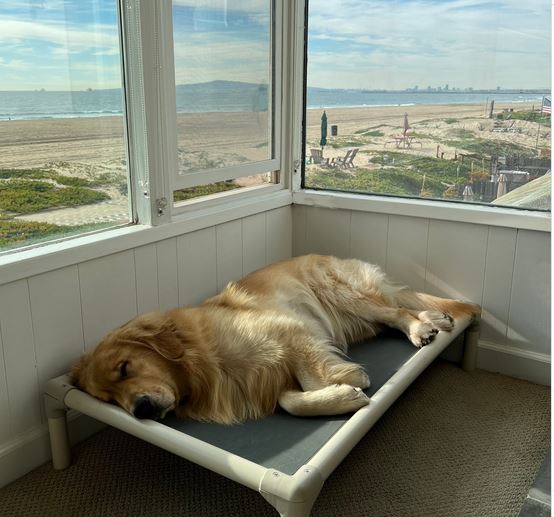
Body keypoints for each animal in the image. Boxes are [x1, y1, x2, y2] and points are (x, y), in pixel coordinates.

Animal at [72, 253, 478, 424]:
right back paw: (433, 319)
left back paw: (422, 327)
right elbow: (288, 400)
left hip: (346, 295)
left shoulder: (289, 329)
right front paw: (340, 396)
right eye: (107, 400)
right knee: (400, 308)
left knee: (397, 311)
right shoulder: (262, 380)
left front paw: (349, 383)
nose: (139, 410)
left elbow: (313, 377)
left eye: (125, 368)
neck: (199, 360)